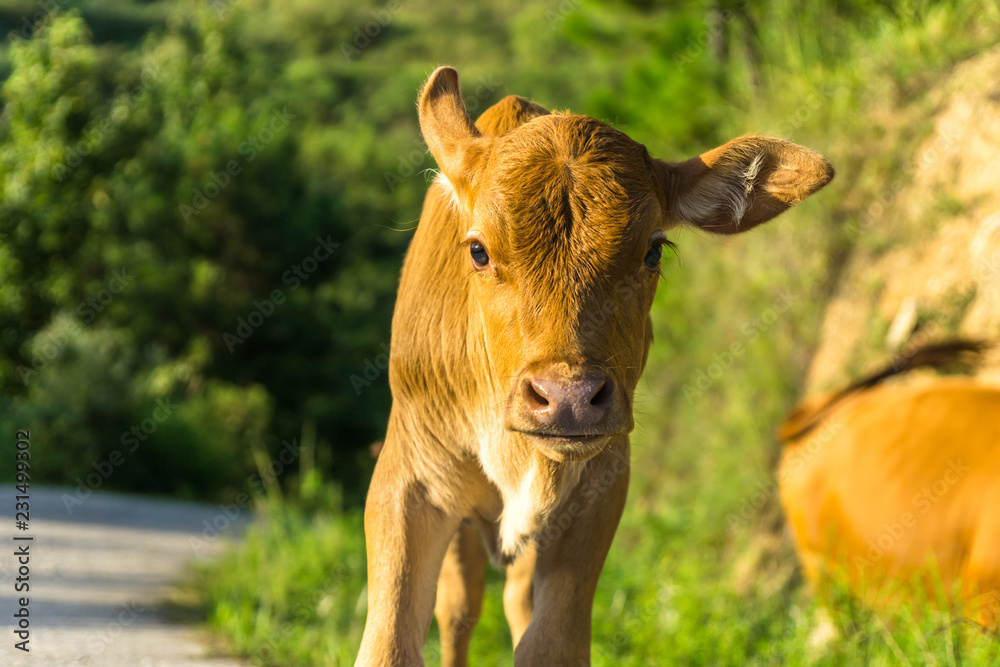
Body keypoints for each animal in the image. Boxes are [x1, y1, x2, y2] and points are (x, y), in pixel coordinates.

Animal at [360, 64, 836, 667]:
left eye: (654, 250)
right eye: (478, 251)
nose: (568, 398)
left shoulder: (600, 485)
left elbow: (551, 643)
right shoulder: (409, 477)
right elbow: (392, 643)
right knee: (459, 609)